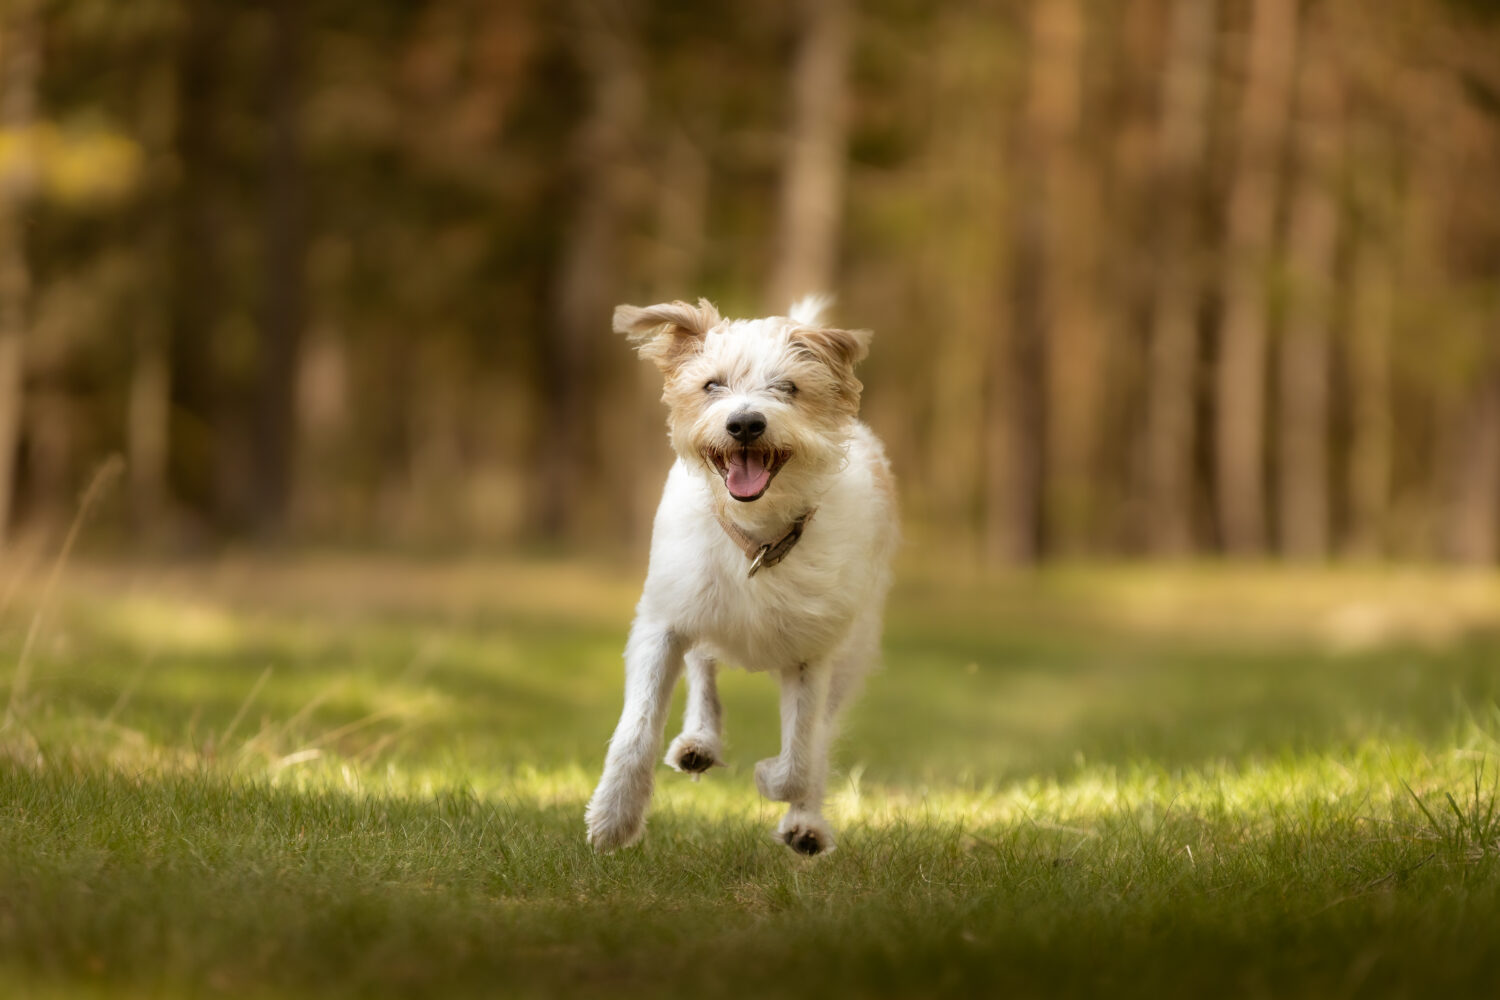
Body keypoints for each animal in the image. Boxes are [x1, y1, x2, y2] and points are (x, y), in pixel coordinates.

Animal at [582, 293, 888, 857]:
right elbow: (637, 729)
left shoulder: (813, 655)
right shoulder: (662, 622)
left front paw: (773, 780)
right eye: (712, 385)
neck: (756, 538)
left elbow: (801, 755)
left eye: (788, 387)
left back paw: (805, 823)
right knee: (703, 668)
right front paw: (614, 816)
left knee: (820, 735)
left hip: (852, 651)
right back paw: (699, 742)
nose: (745, 424)